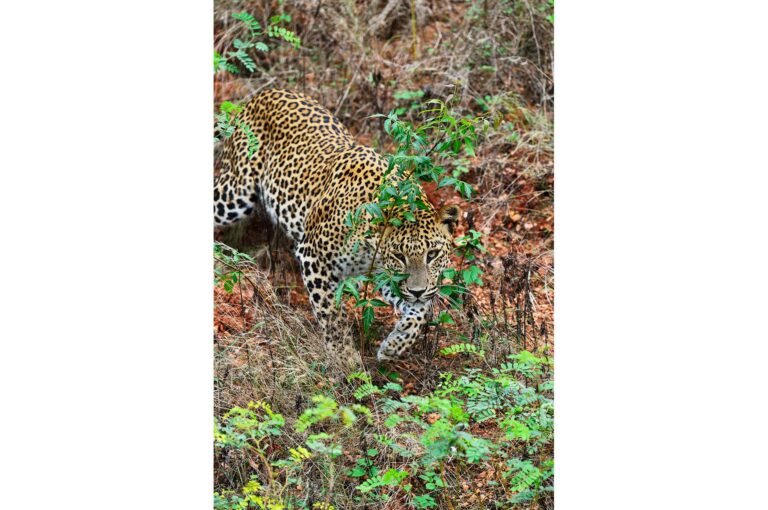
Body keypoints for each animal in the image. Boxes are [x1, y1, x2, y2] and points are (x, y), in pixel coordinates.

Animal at [213, 90, 460, 362]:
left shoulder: (383, 274)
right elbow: (330, 313)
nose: (417, 290)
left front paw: (395, 344)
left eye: (433, 254)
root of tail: (265, 93)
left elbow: (421, 312)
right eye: (400, 256)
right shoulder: (313, 256)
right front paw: (344, 358)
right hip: (235, 193)